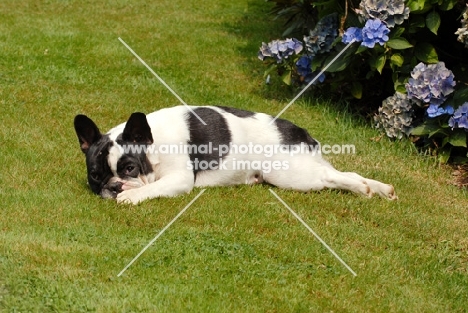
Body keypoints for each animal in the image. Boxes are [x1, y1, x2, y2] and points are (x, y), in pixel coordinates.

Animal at [75, 105, 396, 204]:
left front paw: (130, 196)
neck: (154, 144)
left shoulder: (178, 179)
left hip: (291, 174)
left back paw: (362, 188)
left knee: (334, 177)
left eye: (129, 169)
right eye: (95, 175)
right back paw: (380, 189)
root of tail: (300, 133)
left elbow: (151, 187)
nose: (114, 186)